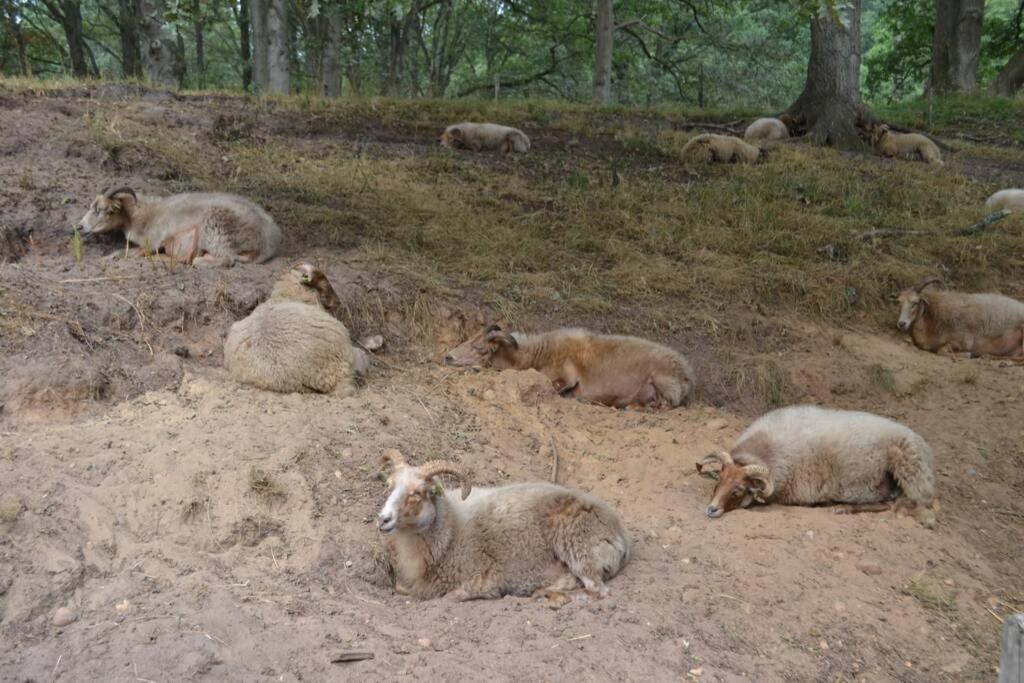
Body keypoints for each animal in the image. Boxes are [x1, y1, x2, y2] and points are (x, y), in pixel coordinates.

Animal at [74, 187, 284, 266]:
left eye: (103, 210)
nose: (79, 227)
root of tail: (269, 243)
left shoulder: (152, 241)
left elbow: (124, 253)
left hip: (216, 230)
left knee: (227, 259)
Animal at [378, 450, 630, 602]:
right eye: (388, 485)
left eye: (417, 494)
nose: (383, 519)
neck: (449, 532)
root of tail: (621, 535)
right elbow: (401, 588)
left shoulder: (485, 579)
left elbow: (449, 596)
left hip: (579, 549)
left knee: (596, 590)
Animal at [442, 327, 696, 411]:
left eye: (479, 348)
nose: (447, 356)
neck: (537, 353)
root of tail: (687, 373)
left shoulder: (564, 378)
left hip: (663, 382)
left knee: (666, 405)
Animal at [696, 405, 937, 528]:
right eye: (718, 482)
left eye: (738, 490)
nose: (711, 509)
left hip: (905, 469)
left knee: (891, 502)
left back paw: (842, 508)